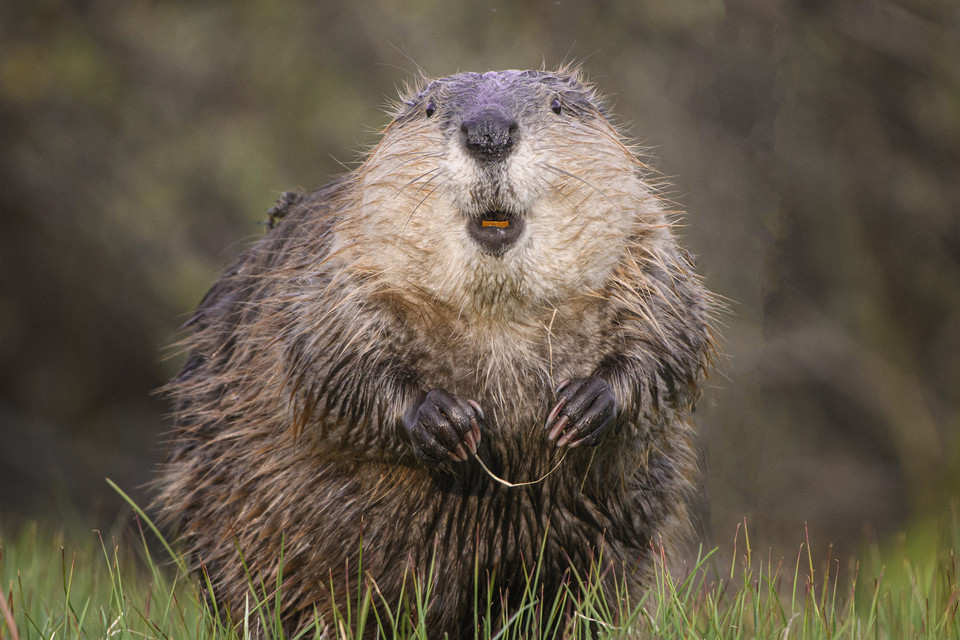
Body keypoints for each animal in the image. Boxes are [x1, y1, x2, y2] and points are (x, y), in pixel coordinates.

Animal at [156, 67, 712, 636]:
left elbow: (674, 337)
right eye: (430, 110)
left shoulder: (647, 248)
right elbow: (327, 360)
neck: (499, 314)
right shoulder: (342, 263)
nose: (488, 133)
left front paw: (581, 409)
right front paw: (447, 423)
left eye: (557, 105)